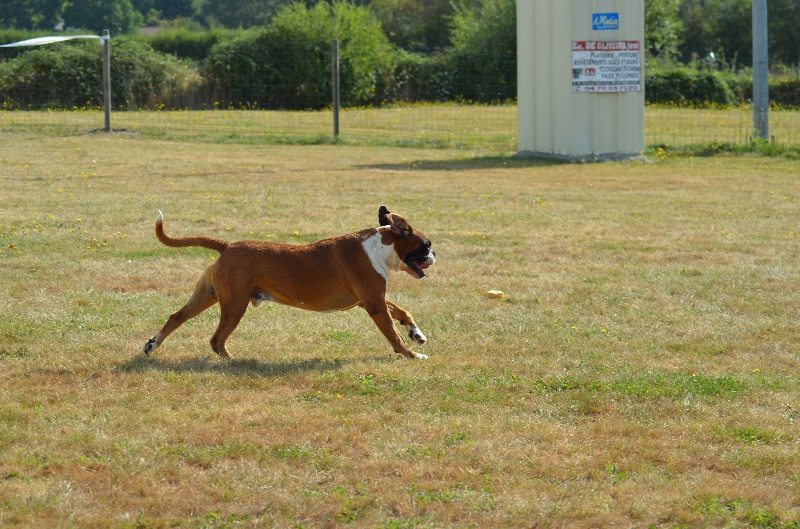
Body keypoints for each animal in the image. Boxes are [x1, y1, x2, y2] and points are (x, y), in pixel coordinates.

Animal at [141, 206, 434, 358]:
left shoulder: (371, 300)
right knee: (217, 339)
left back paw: (152, 344)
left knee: (176, 317)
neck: (379, 246)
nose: (434, 254)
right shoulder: (374, 304)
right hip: (235, 305)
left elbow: (402, 312)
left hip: (208, 295)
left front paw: (416, 333)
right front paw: (411, 354)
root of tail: (228, 245)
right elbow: (393, 335)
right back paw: (233, 361)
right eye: (426, 245)